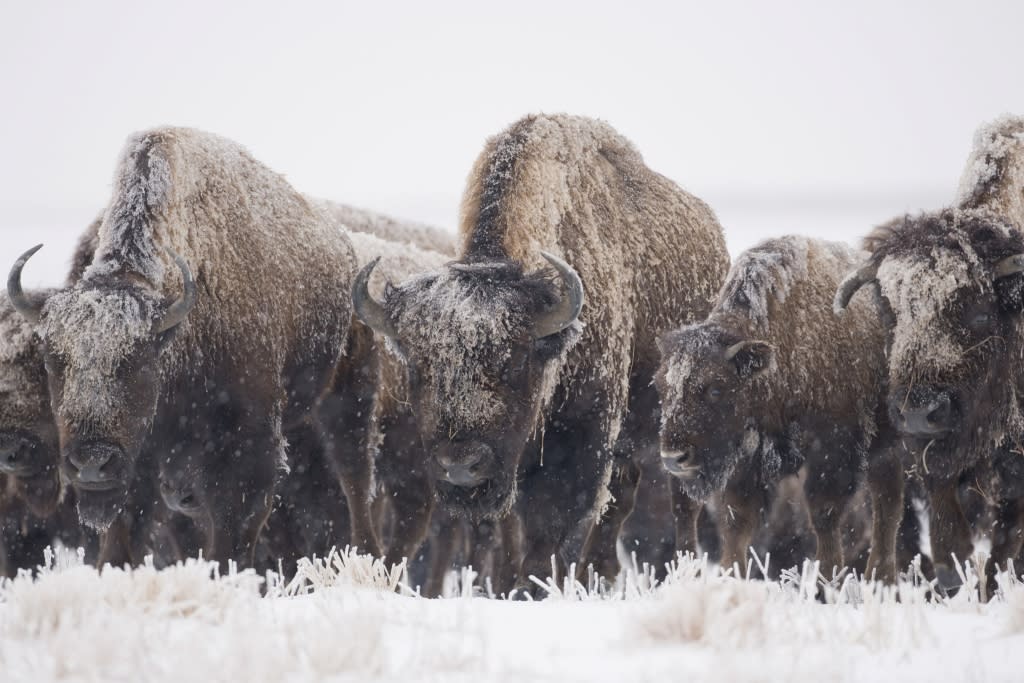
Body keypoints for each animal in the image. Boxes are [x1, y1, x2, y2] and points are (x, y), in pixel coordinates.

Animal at [352, 112, 729, 593]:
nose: (461, 467)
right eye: (419, 366)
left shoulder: (581, 441)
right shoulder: (517, 465)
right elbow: (513, 531)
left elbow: (552, 527)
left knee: (679, 510)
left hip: (681, 438)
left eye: (515, 360)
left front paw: (535, 588)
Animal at [655, 236, 905, 581]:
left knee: (887, 505)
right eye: (660, 386)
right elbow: (737, 522)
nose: (674, 458)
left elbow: (824, 514)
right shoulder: (748, 461)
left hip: (885, 443)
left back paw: (880, 576)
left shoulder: (834, 448)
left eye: (716, 388)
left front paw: (826, 581)